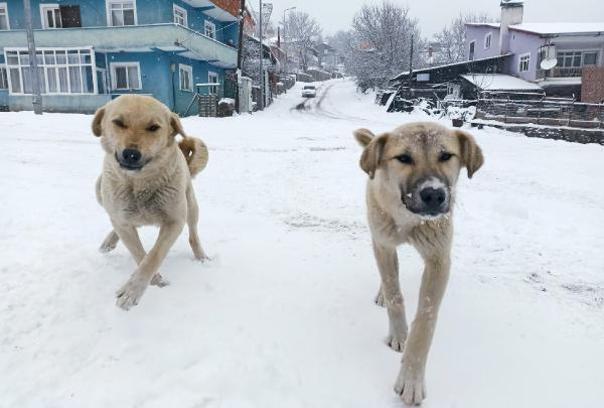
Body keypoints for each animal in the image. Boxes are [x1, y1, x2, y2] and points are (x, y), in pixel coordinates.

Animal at [92, 95, 209, 310]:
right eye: (118, 122)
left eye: (154, 127)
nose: (131, 154)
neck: (140, 184)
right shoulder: (123, 221)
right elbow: (140, 254)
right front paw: (155, 281)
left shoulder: (174, 221)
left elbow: (153, 256)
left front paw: (132, 291)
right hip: (100, 188)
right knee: (116, 220)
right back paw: (109, 241)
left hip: (190, 206)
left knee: (193, 235)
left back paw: (202, 257)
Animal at [354, 122, 486, 404]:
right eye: (404, 158)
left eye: (446, 155)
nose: (433, 194)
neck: (409, 220)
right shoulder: (383, 244)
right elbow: (395, 295)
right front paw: (399, 335)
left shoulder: (439, 258)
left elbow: (426, 321)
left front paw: (411, 379)